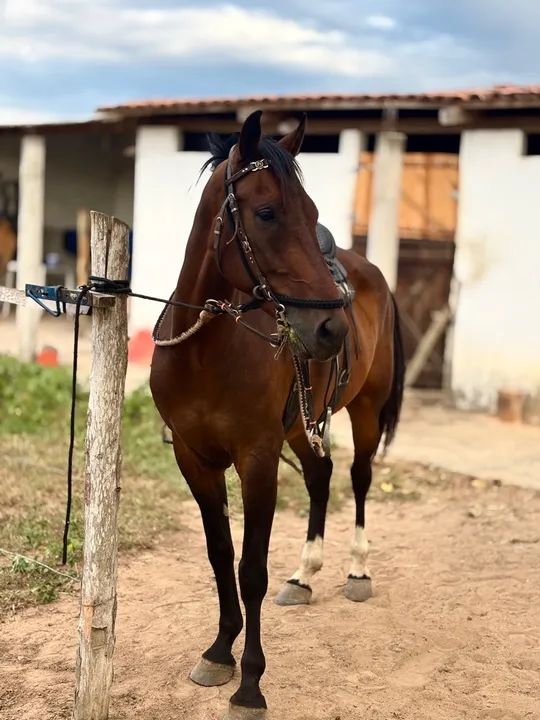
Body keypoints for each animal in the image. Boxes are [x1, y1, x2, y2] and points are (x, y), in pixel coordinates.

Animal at [150, 110, 405, 719]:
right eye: (266, 213)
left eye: (311, 214)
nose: (332, 329)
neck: (206, 349)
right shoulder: (195, 460)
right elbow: (221, 556)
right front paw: (219, 651)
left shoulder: (257, 460)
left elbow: (251, 571)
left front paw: (250, 684)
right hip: (299, 427)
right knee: (322, 476)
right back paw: (305, 576)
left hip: (364, 410)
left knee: (359, 478)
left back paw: (357, 569)